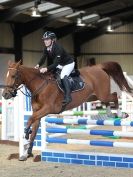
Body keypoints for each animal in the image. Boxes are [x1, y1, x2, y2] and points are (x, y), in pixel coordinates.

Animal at [2, 60, 132, 160]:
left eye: (13, 76)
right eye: (6, 76)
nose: (5, 95)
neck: (40, 85)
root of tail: (98, 67)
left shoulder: (48, 108)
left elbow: (29, 120)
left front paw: (25, 134)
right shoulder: (38, 112)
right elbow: (34, 131)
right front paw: (26, 153)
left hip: (102, 94)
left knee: (114, 96)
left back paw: (121, 114)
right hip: (93, 97)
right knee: (107, 101)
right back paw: (110, 114)